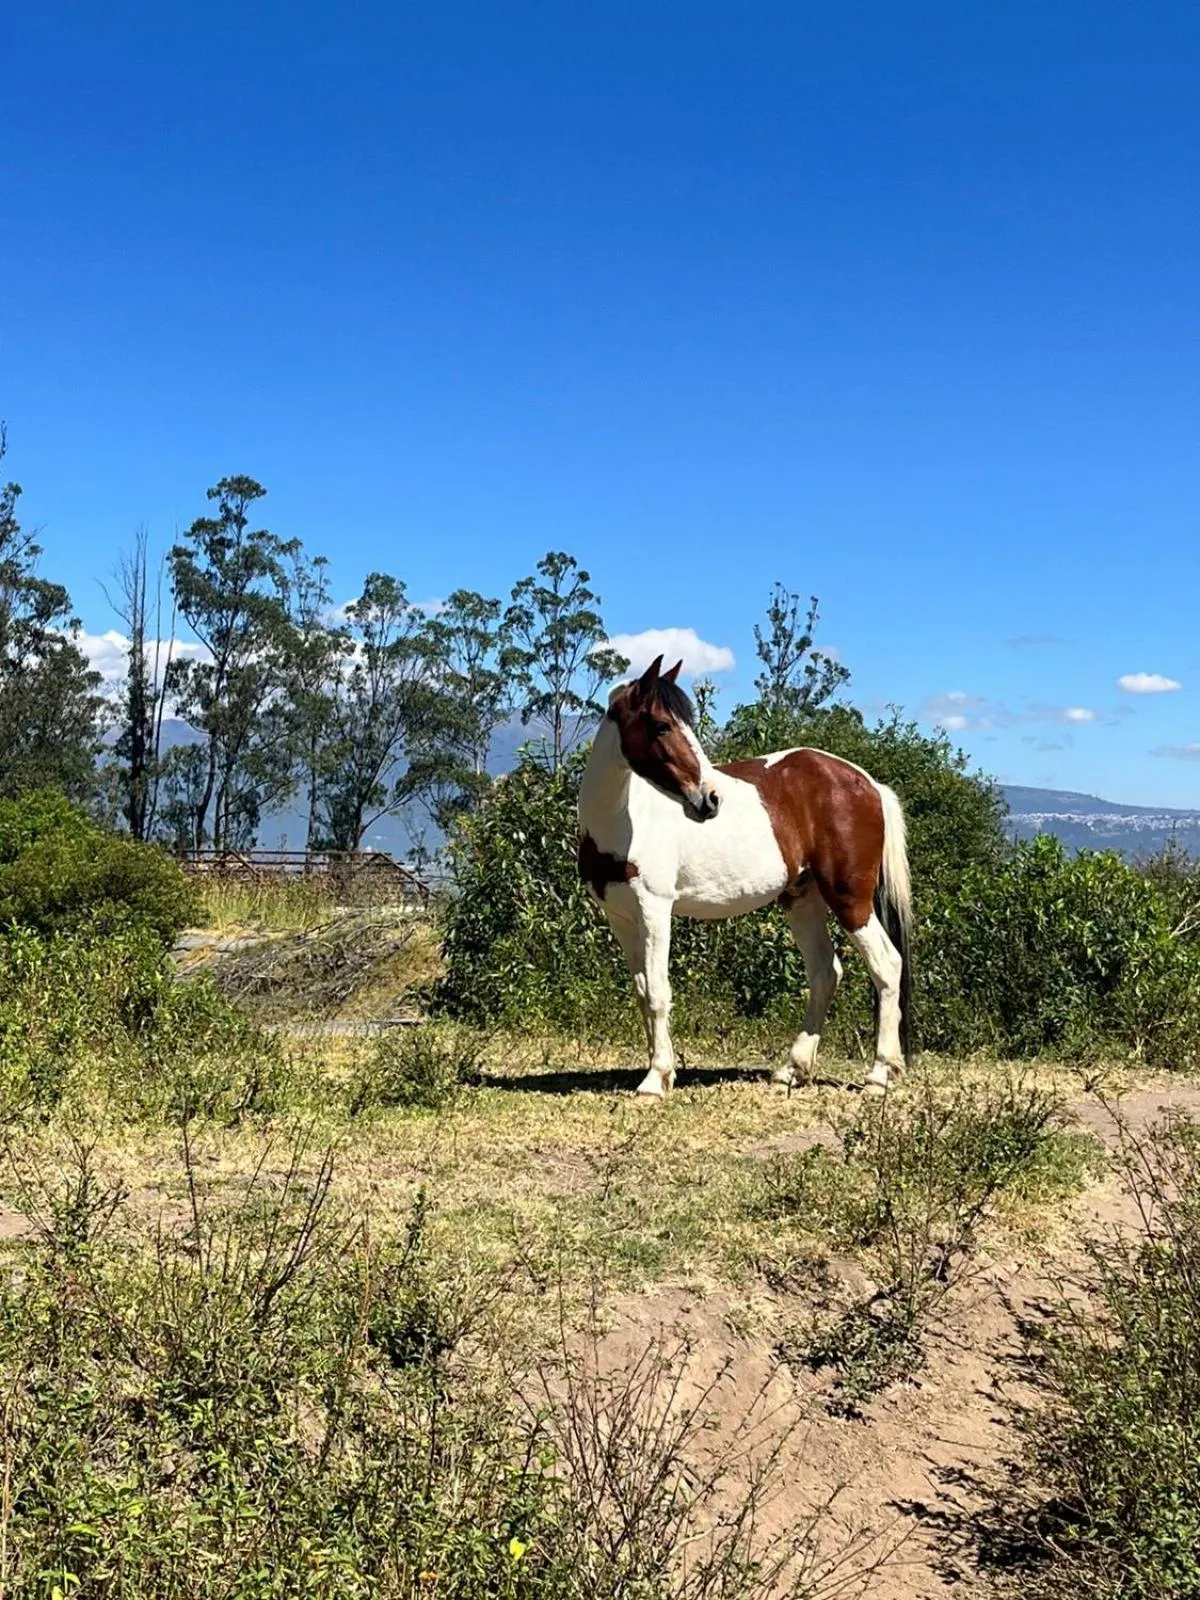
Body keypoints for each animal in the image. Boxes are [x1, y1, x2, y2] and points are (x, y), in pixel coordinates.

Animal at [577, 655, 913, 1098]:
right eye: (662, 725)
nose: (711, 800)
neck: (626, 821)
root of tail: (869, 783)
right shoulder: (621, 917)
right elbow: (642, 991)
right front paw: (661, 1072)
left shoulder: (655, 911)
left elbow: (659, 993)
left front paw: (655, 1080)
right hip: (802, 899)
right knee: (826, 973)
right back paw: (793, 1069)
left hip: (849, 899)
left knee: (887, 965)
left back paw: (879, 1075)